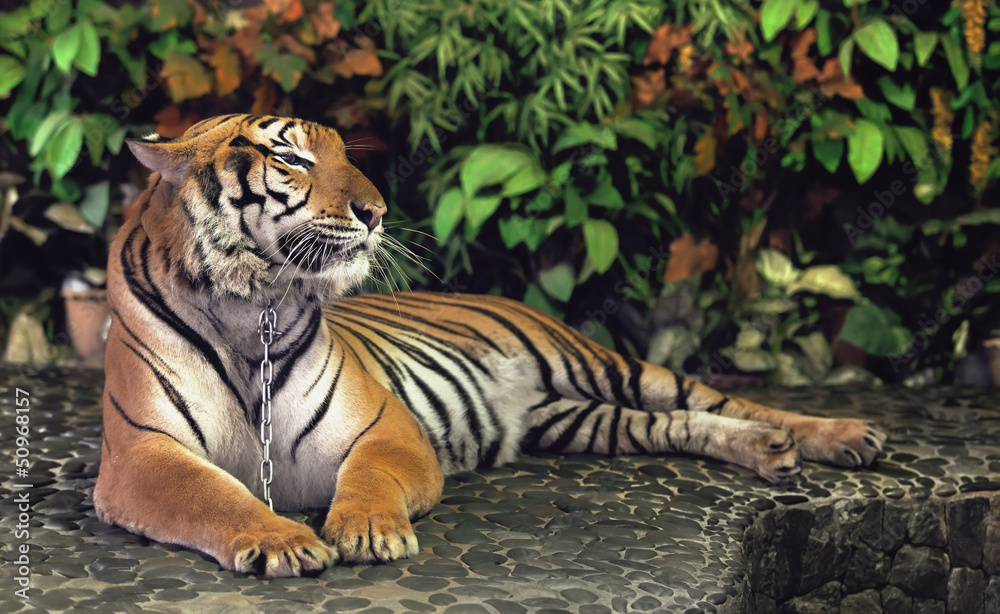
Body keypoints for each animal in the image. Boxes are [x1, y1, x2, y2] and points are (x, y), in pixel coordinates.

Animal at [95, 114, 887, 578]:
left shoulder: (385, 425)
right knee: (675, 424)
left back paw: (840, 436)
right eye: (292, 159)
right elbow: (212, 495)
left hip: (601, 364)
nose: (377, 211)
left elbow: (370, 478)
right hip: (578, 420)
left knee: (723, 399)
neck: (250, 304)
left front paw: (368, 531)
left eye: (346, 156)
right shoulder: (141, 454)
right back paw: (770, 452)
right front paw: (285, 539)